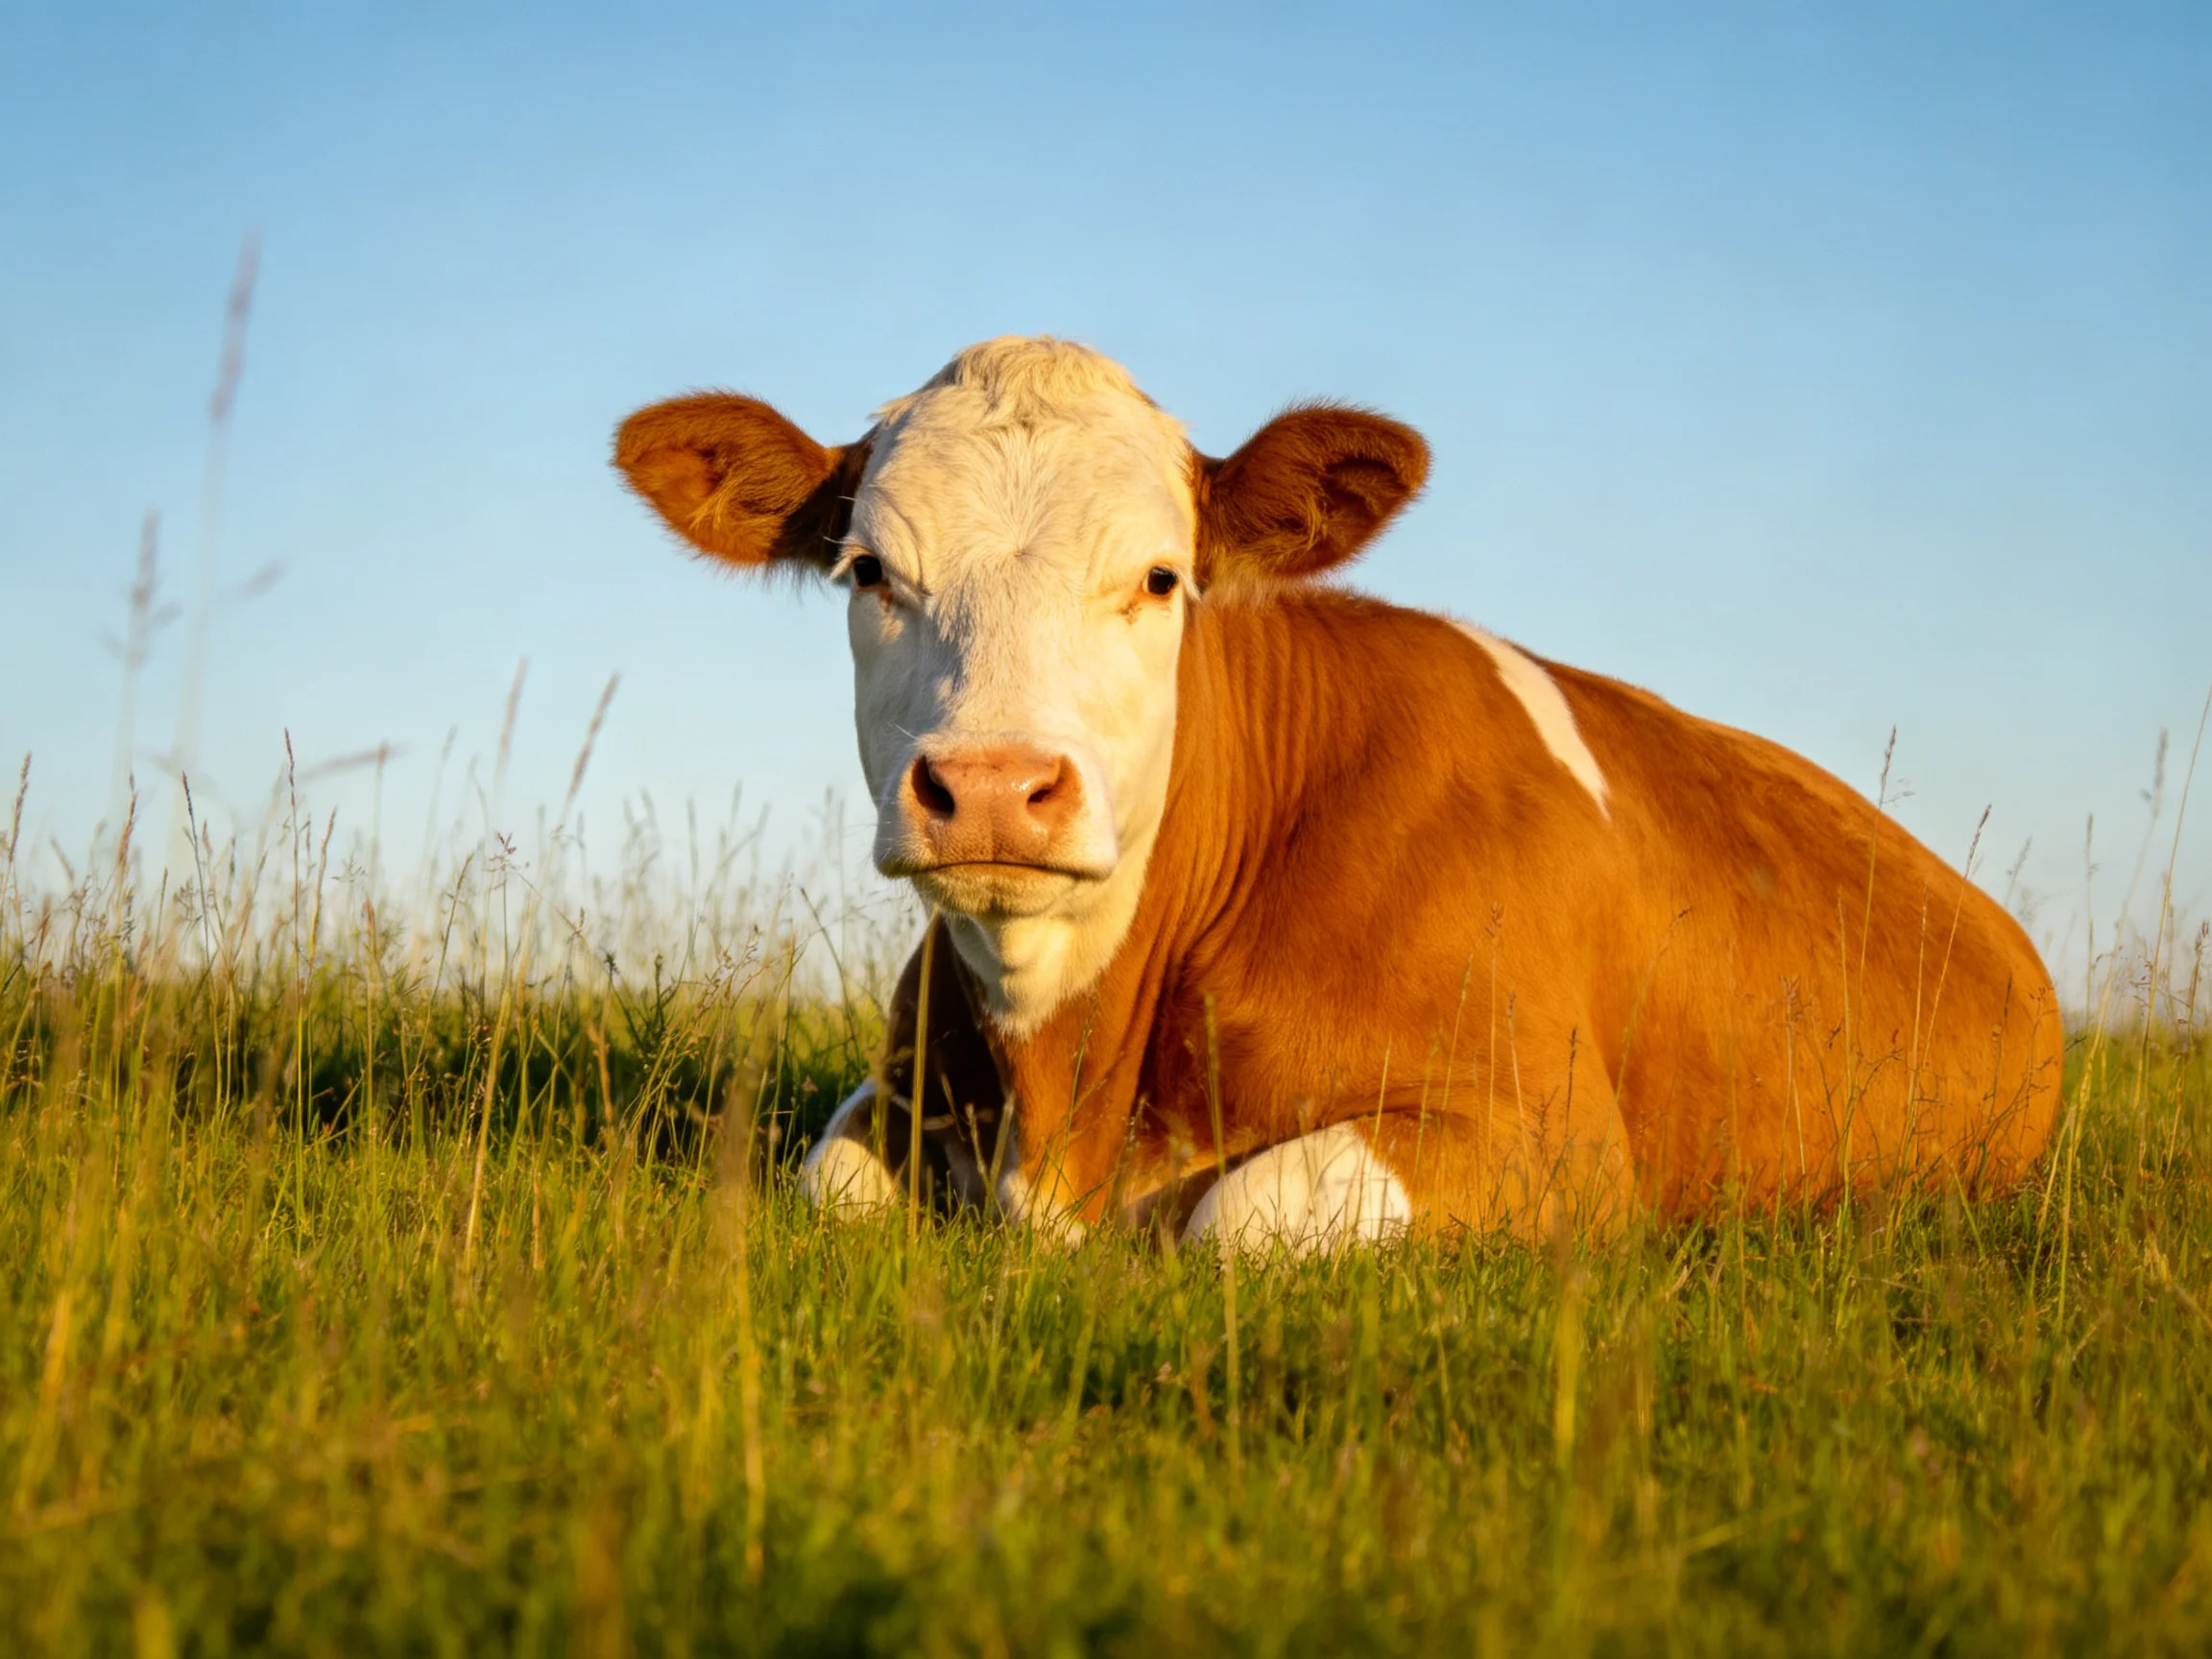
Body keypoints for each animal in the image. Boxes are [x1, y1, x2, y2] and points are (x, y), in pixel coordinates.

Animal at [614, 337, 2062, 1251]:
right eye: (867, 570)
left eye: (1161, 577)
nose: (989, 787)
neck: (1064, 1100)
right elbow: (830, 1185)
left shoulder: (1555, 1143)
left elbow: (1240, 1218)